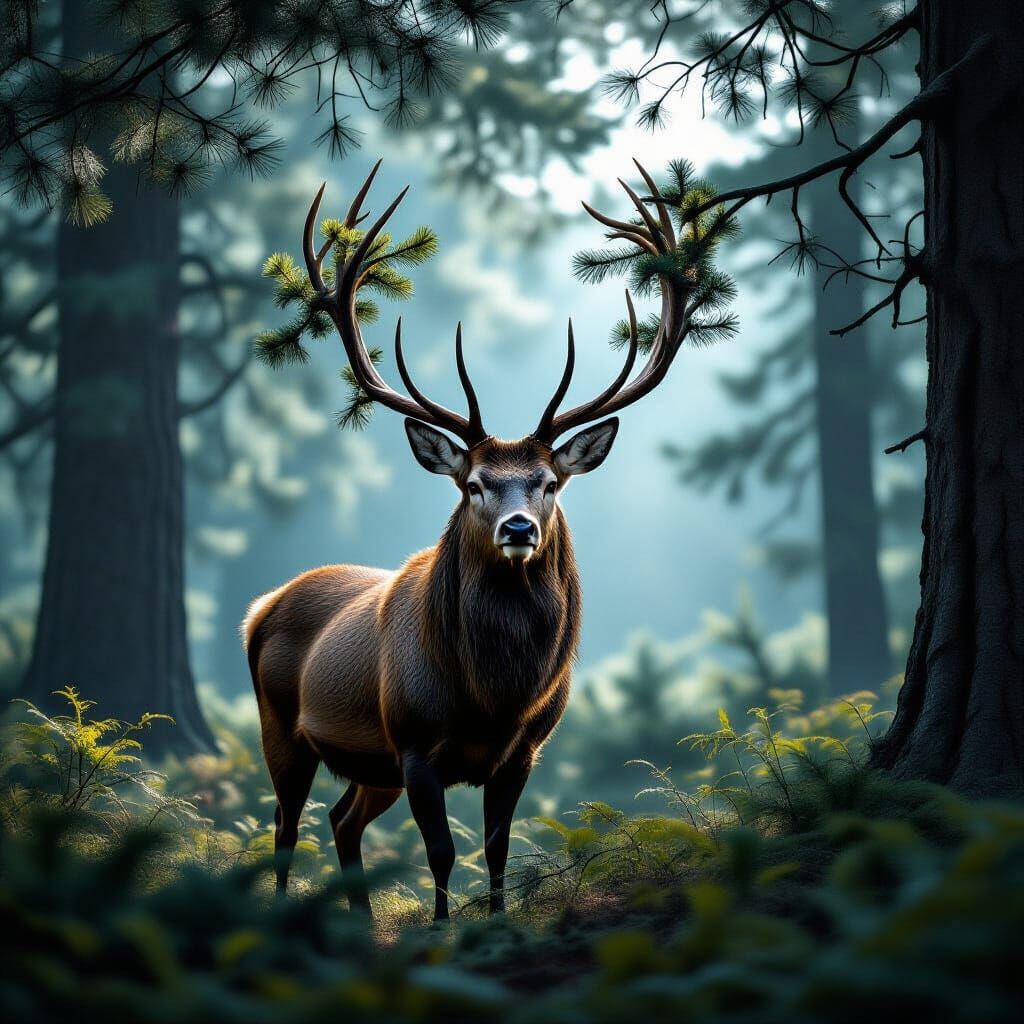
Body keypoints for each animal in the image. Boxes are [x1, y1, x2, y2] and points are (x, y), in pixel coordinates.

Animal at [243, 159, 694, 922]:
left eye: (549, 481)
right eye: (475, 483)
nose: (518, 528)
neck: (494, 696)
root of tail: (261, 606)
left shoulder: (523, 752)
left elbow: (497, 851)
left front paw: (497, 924)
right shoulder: (417, 743)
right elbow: (442, 853)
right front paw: (440, 928)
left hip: (371, 764)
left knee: (339, 820)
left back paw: (359, 924)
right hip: (285, 726)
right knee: (284, 824)